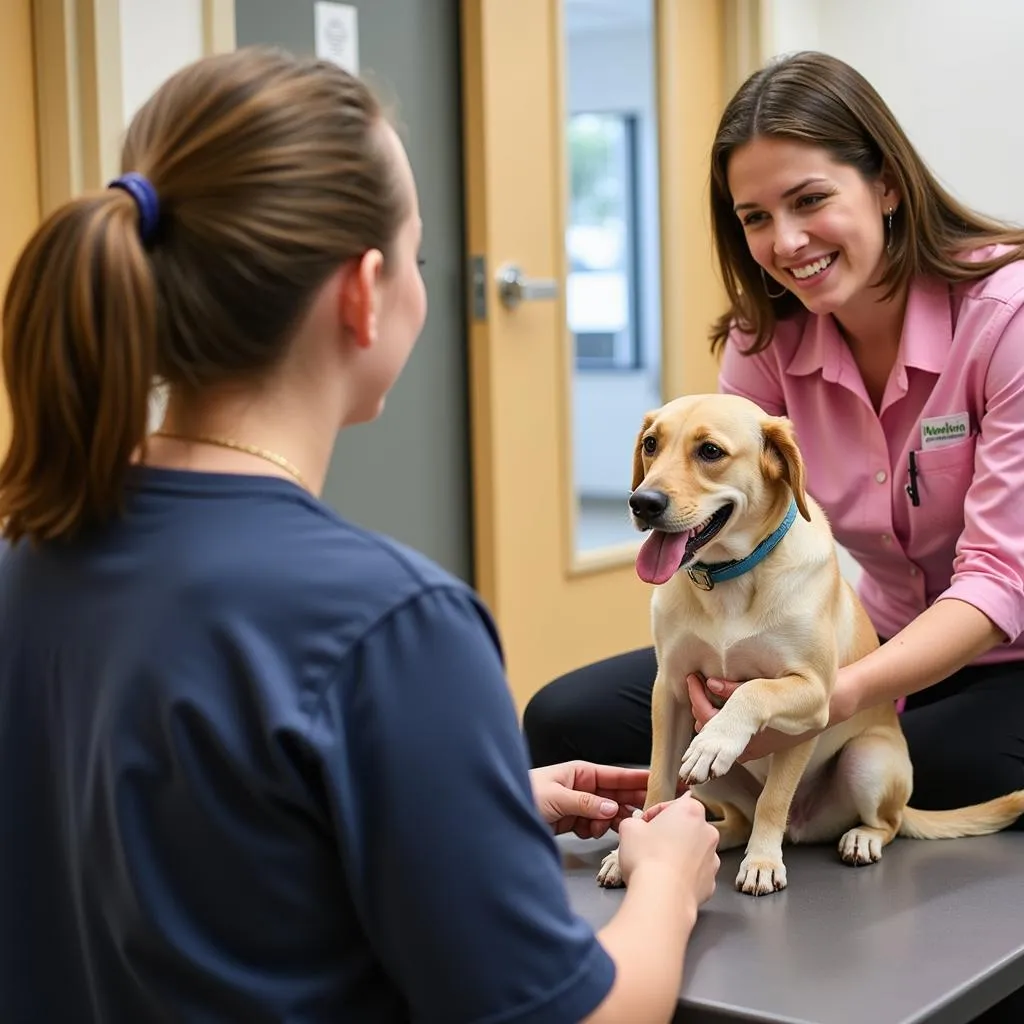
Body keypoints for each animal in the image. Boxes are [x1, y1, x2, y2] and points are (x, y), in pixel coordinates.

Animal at [598, 395, 1024, 892]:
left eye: (710, 451)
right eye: (651, 444)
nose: (642, 503)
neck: (731, 578)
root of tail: (803, 828)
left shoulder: (813, 697)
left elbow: (757, 708)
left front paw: (761, 857)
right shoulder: (670, 691)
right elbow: (657, 785)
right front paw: (636, 847)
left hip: (868, 759)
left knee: (887, 823)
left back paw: (859, 837)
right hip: (706, 777)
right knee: (737, 815)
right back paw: (717, 833)